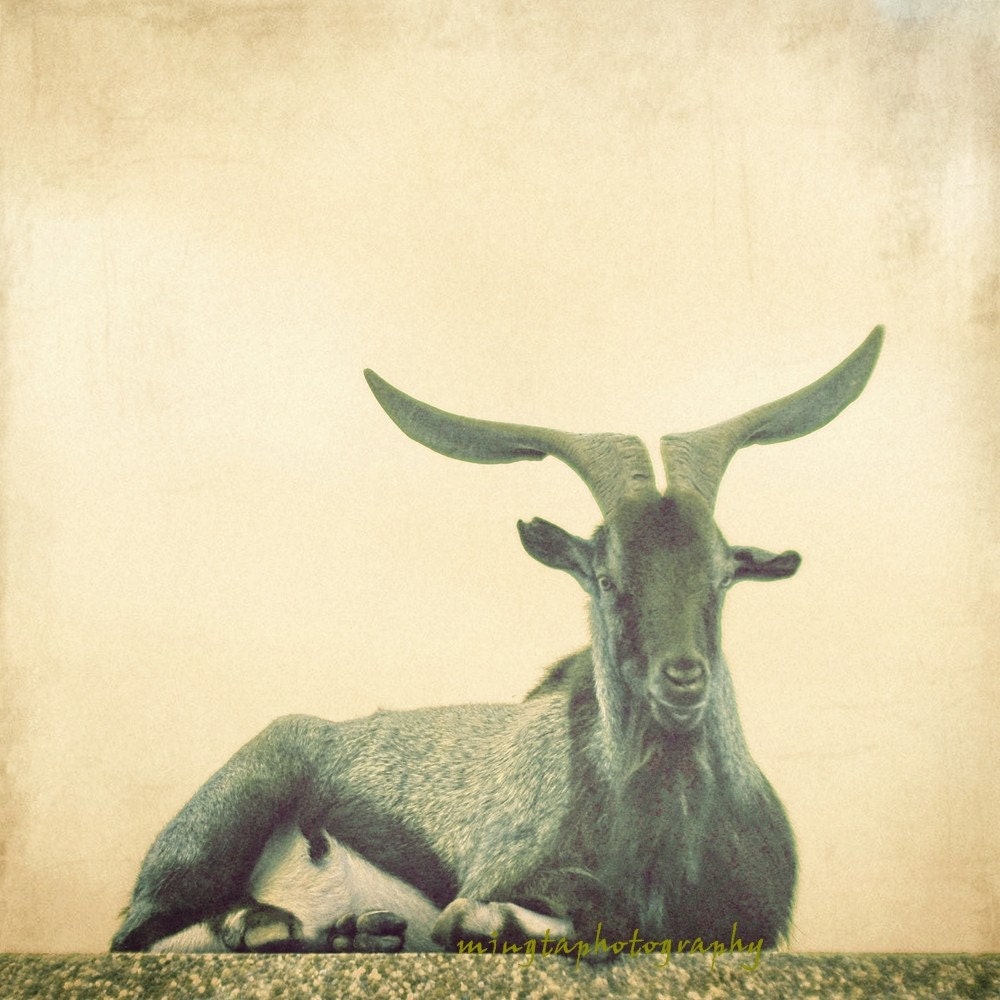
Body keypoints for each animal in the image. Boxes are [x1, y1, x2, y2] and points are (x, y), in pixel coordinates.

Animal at [111, 327, 883, 955]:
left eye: (723, 575)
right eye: (607, 577)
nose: (683, 678)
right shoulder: (510, 870)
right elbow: (543, 912)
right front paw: (485, 921)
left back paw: (357, 929)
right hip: (221, 820)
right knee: (140, 931)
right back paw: (272, 923)